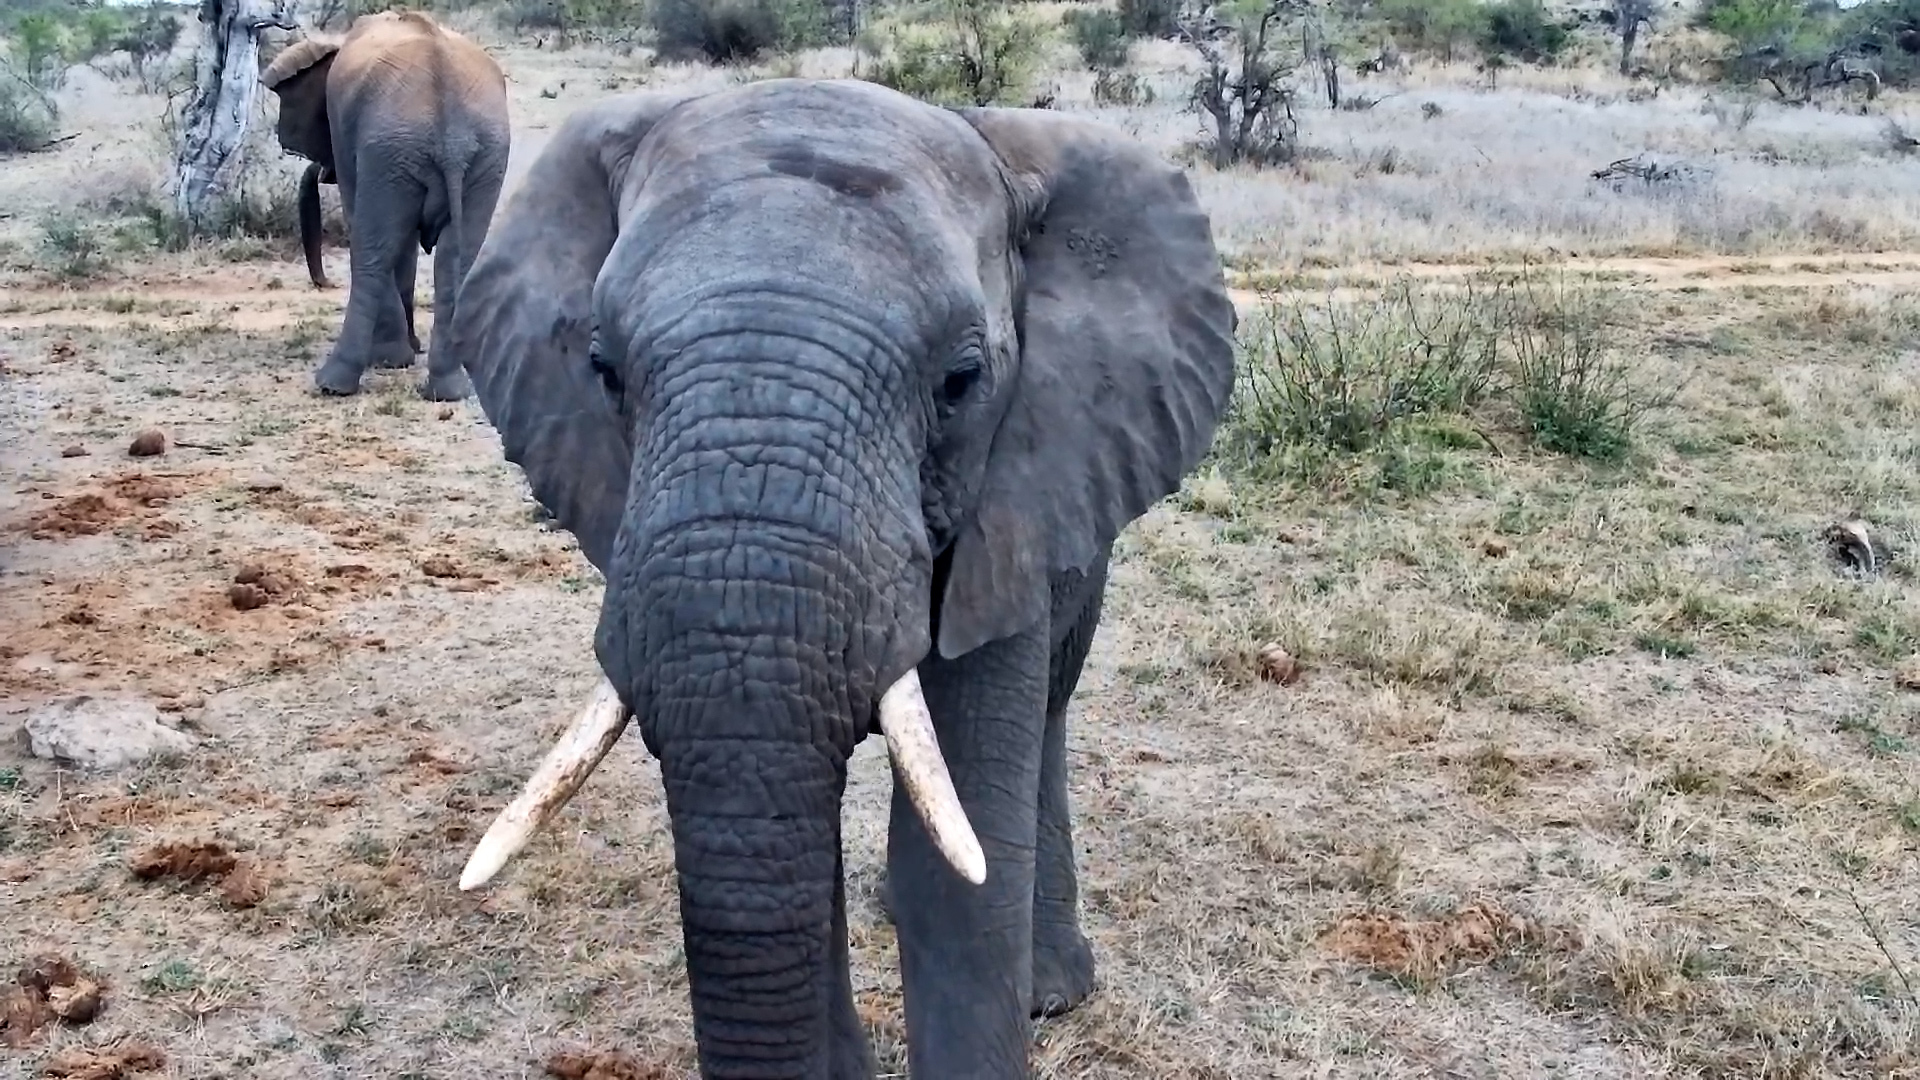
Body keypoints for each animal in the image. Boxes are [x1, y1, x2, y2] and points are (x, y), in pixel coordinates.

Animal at [259, 11, 510, 401]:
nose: (325, 283)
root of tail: (452, 134)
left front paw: (393, 359)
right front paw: (412, 348)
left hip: (392, 147)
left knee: (373, 254)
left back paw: (336, 382)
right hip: (482, 154)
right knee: (458, 257)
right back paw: (450, 390)